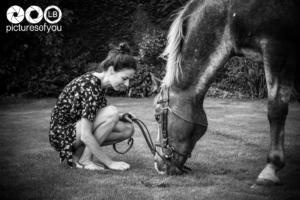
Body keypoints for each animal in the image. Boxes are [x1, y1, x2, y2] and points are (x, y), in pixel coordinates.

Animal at [154, 0, 298, 185]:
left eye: (157, 117)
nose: (158, 166)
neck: (231, 14)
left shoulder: (278, 49)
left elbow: (276, 111)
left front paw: (271, 168)